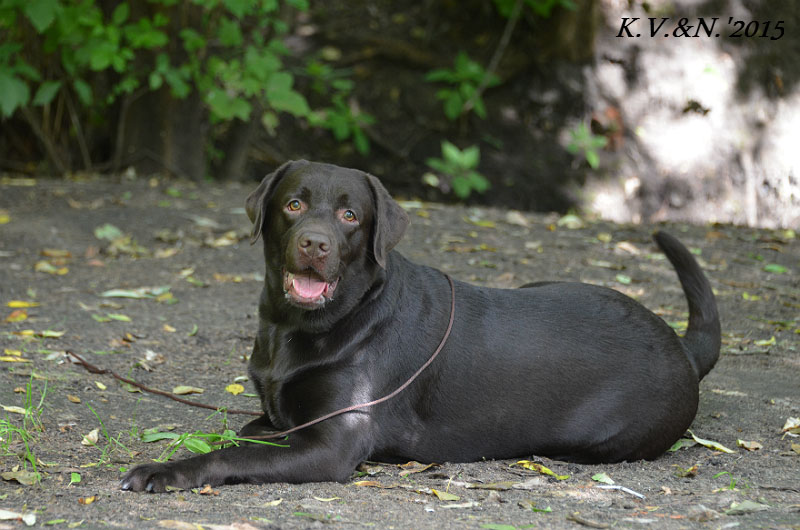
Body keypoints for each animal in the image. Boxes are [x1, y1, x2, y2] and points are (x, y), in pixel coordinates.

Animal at [122, 160, 720, 490]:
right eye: (293, 204)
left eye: (350, 216)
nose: (314, 244)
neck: (298, 326)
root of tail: (681, 347)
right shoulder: (281, 418)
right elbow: (243, 434)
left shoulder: (334, 442)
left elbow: (234, 452)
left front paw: (163, 471)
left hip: (606, 439)